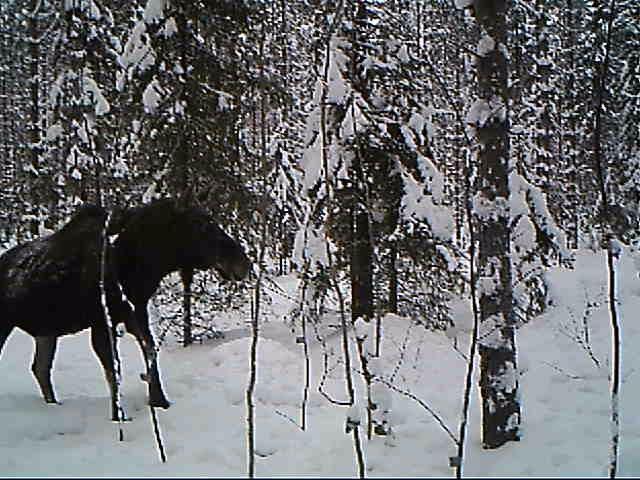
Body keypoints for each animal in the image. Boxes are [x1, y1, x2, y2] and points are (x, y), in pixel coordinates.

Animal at [0, 199, 250, 420]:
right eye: (201, 225)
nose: (244, 263)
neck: (136, 268)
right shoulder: (102, 324)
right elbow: (114, 371)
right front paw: (118, 415)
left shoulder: (135, 313)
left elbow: (150, 351)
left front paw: (159, 401)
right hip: (8, 326)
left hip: (47, 333)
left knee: (40, 368)